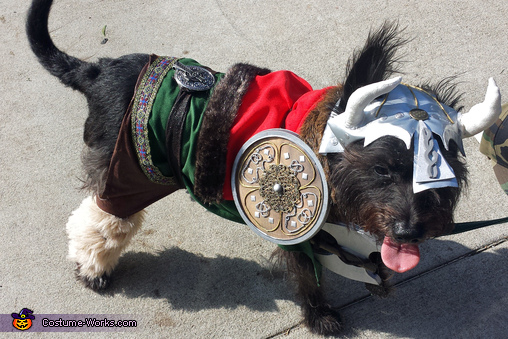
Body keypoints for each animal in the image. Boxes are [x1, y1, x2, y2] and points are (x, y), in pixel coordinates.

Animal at [26, 0, 500, 336]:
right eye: (383, 170)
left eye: (437, 172)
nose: (409, 232)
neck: (320, 144)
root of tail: (95, 70)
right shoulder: (295, 230)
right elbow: (308, 276)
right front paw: (320, 316)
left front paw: (373, 273)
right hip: (126, 174)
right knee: (100, 217)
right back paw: (93, 269)